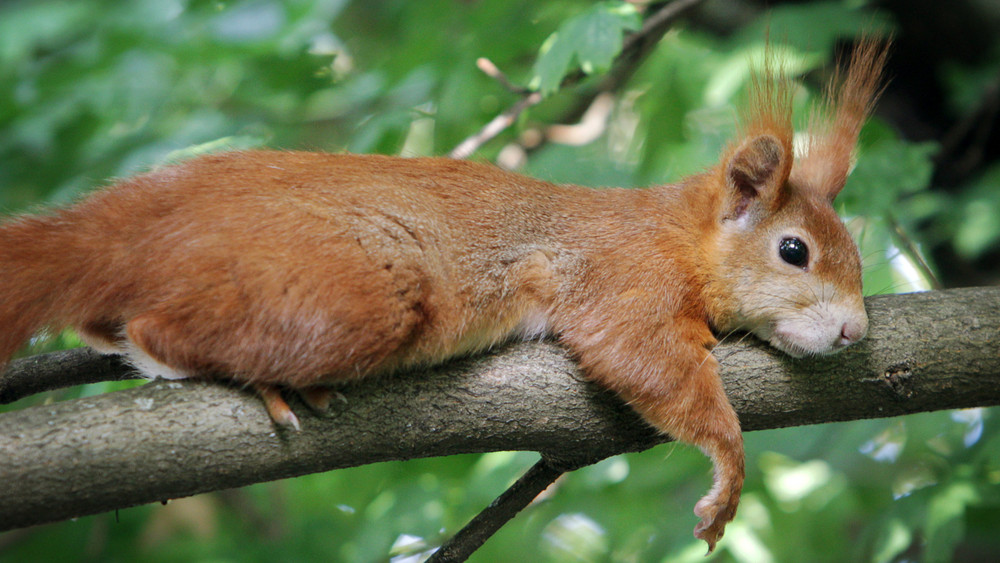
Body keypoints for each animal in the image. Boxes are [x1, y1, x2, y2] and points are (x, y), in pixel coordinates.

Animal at [0, 38, 888, 552]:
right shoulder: (617, 275)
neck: (676, 232)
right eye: (795, 251)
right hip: (348, 298)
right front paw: (727, 467)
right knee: (162, 326)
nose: (854, 331)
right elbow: (643, 357)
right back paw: (251, 378)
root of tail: (138, 223)